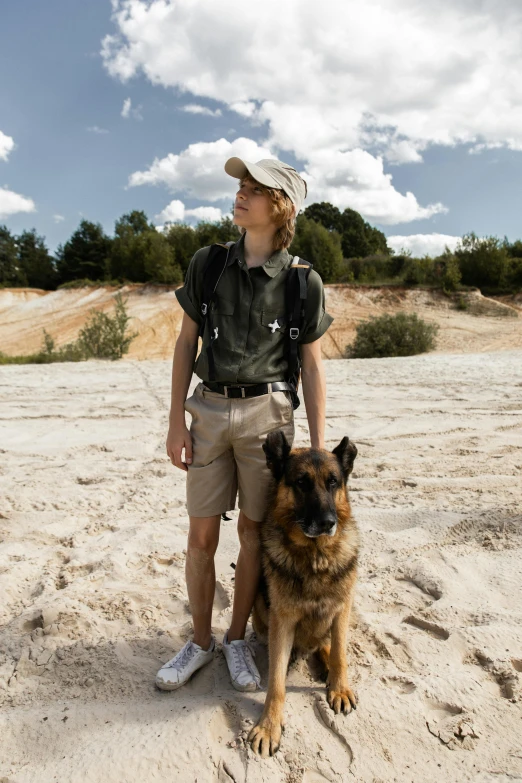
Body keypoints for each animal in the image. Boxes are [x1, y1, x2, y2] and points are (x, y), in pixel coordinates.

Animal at [248, 432, 358, 756]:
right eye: (301, 482)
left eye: (333, 482)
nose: (327, 523)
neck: (315, 555)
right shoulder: (282, 621)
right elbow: (276, 684)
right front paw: (269, 726)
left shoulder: (343, 608)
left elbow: (341, 653)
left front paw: (339, 687)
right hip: (260, 607)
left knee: (328, 644)